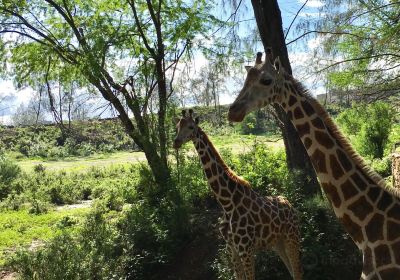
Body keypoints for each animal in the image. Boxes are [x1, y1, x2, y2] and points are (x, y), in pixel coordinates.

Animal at [173, 109, 302, 280]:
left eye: (191, 127)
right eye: (177, 126)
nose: (176, 142)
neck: (227, 202)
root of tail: (290, 205)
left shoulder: (245, 249)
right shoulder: (232, 249)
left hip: (291, 237)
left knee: (298, 271)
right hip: (277, 242)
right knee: (292, 271)